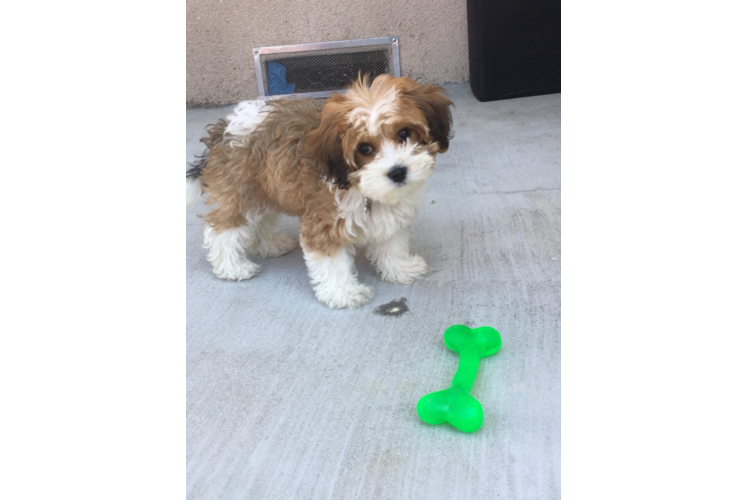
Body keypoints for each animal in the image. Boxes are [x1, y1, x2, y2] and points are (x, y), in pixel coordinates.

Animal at [186, 74, 456, 308]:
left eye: (404, 133)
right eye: (365, 148)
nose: (398, 172)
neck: (357, 185)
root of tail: (223, 128)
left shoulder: (389, 216)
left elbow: (391, 244)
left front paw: (400, 269)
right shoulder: (324, 222)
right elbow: (332, 262)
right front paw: (343, 292)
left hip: (267, 188)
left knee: (261, 220)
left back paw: (268, 245)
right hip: (242, 192)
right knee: (223, 229)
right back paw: (233, 267)